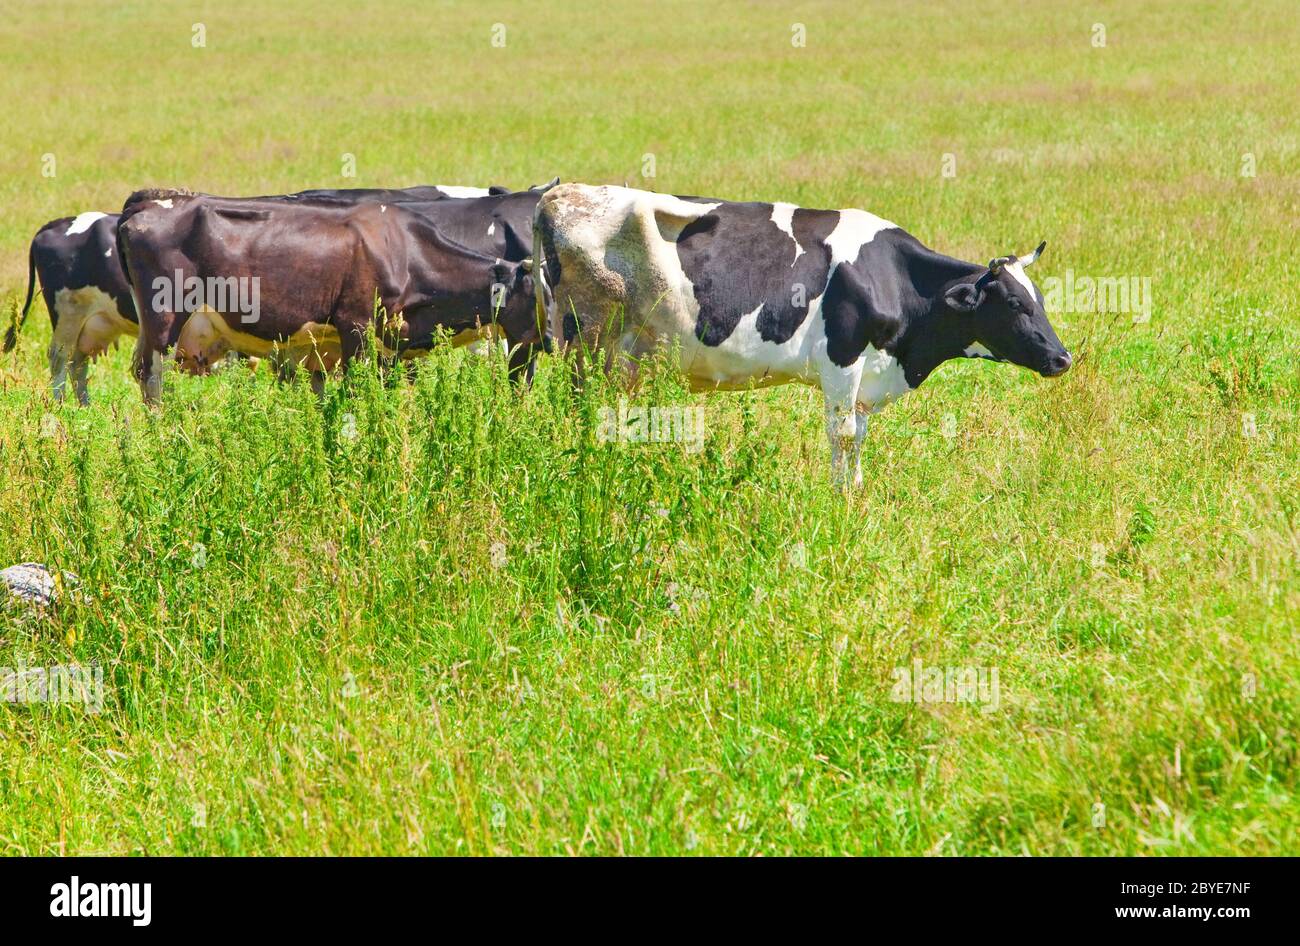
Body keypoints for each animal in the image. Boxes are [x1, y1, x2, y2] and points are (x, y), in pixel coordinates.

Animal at [6, 183, 554, 402]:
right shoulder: (355, 327)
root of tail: (149, 202)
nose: (551, 342)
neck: (405, 249)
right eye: (538, 297)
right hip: (158, 318)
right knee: (142, 375)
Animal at [533, 184, 1071, 487]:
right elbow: (843, 434)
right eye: (1015, 304)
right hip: (588, 347)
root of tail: (559, 195)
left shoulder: (866, 376)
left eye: (1042, 300)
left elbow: (859, 437)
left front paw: (856, 489)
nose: (1063, 358)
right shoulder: (842, 361)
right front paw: (839, 497)